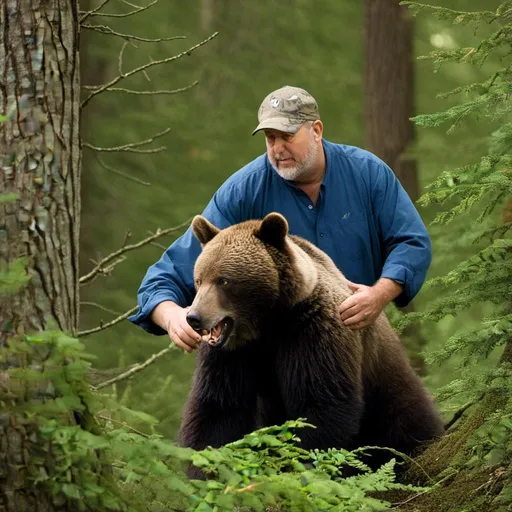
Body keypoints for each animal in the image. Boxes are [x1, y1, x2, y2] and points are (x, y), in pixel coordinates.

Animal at [180, 212, 444, 468]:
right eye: (199, 280)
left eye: (224, 280)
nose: (194, 317)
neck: (266, 324)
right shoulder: (232, 355)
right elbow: (218, 409)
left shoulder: (312, 331)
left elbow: (321, 402)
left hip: (384, 381)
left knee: (406, 419)